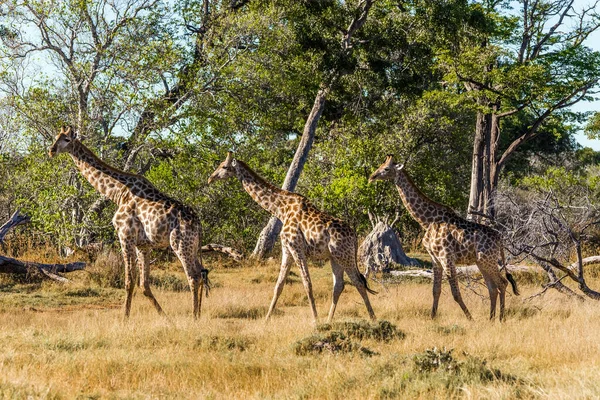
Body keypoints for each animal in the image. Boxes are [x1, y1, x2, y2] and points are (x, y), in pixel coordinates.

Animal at [48, 126, 209, 320]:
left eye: (66, 140)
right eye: (56, 137)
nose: (51, 150)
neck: (118, 192)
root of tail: (198, 224)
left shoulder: (125, 236)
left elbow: (128, 281)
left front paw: (124, 318)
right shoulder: (143, 245)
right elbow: (144, 284)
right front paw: (165, 317)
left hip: (180, 244)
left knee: (193, 276)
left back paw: (194, 317)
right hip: (193, 246)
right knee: (202, 272)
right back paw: (198, 313)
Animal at [207, 152, 376, 324]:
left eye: (224, 166)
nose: (210, 178)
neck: (281, 209)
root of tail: (354, 236)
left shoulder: (296, 247)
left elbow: (307, 283)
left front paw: (315, 320)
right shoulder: (286, 249)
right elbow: (279, 285)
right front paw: (266, 319)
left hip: (344, 256)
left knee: (358, 282)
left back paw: (372, 318)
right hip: (334, 257)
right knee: (339, 285)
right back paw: (329, 320)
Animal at [368, 155, 516, 320]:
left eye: (386, 168)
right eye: (380, 165)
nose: (372, 177)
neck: (427, 221)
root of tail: (500, 239)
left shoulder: (446, 257)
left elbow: (455, 293)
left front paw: (470, 318)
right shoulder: (435, 259)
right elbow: (435, 290)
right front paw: (432, 317)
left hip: (487, 260)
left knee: (502, 283)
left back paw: (501, 318)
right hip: (481, 262)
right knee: (493, 287)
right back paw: (491, 318)